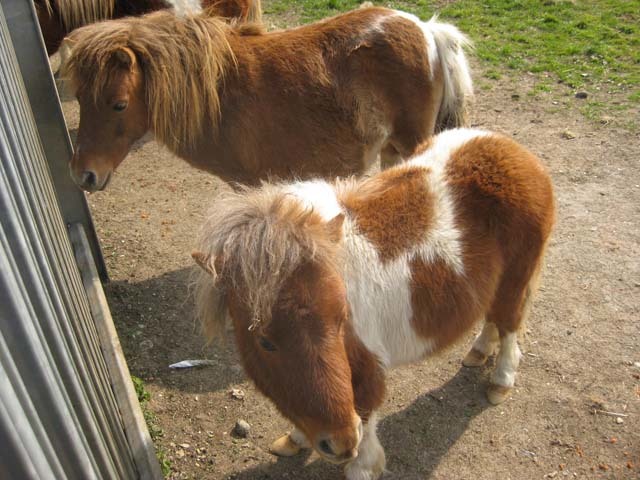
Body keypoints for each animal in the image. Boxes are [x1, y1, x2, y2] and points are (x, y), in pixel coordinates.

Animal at [62, 7, 472, 191]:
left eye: (118, 104)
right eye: (80, 97)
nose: (83, 174)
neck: (220, 93)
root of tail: (425, 29)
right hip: (390, 148)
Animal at [191, 128, 556, 480]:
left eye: (342, 318)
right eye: (265, 341)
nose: (339, 443)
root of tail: (515, 152)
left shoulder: (367, 370)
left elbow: (365, 421)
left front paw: (362, 464)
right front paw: (296, 440)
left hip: (516, 279)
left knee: (510, 326)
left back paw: (500, 381)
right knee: (493, 319)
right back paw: (479, 352)